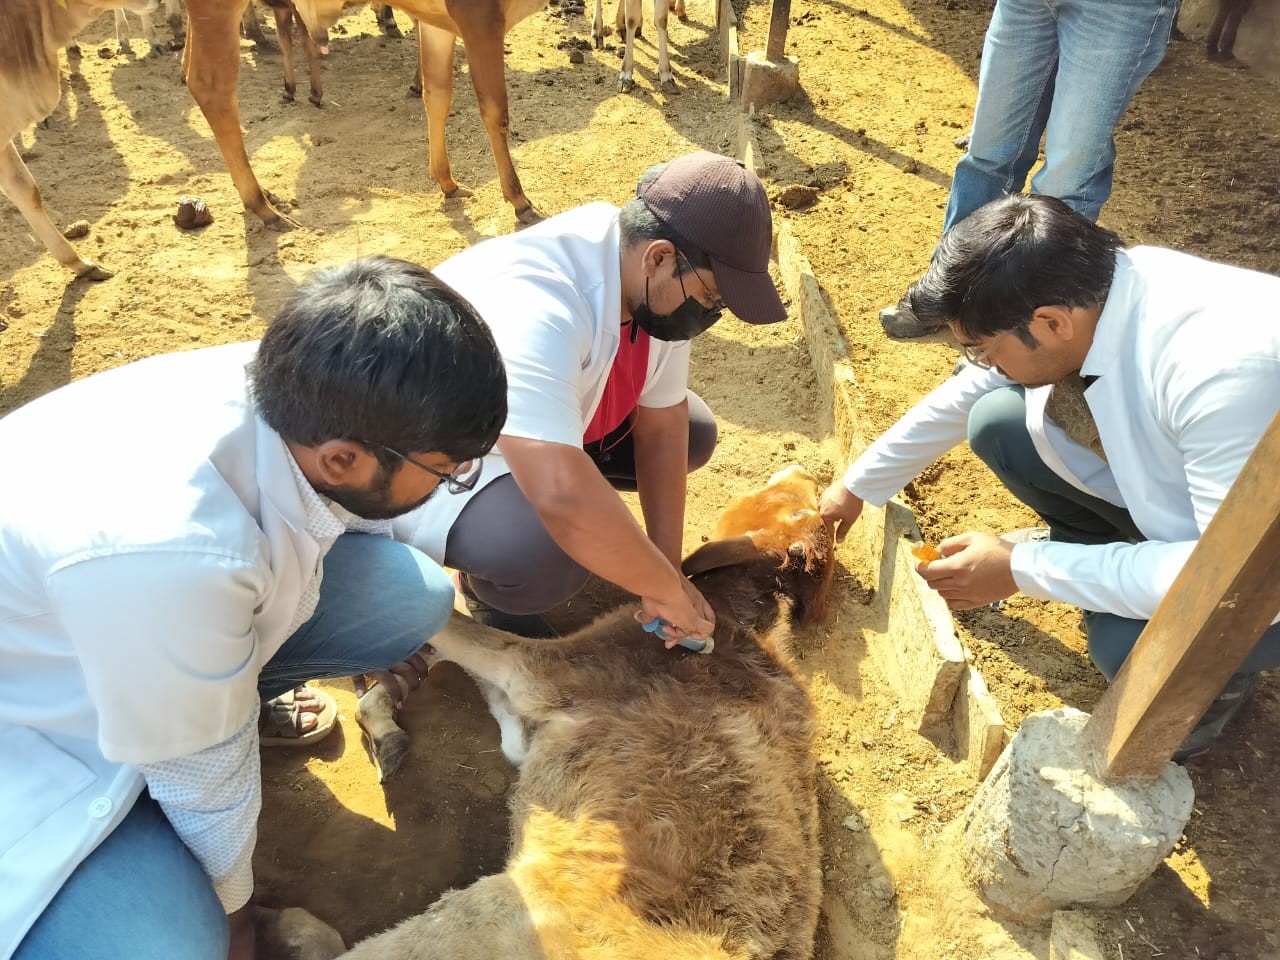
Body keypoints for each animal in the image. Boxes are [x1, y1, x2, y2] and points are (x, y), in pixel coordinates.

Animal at [184, 0, 550, 229]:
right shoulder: (480, 19)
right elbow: (496, 112)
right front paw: (519, 199)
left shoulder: (438, 23)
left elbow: (437, 97)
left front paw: (446, 181)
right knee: (211, 87)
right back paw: (263, 207)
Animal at [343, 463, 829, 957]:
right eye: (804, 503)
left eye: (786, 501)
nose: (805, 471)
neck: (740, 616)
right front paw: (386, 703)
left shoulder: (546, 671)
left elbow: (452, 623)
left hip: (488, 908)